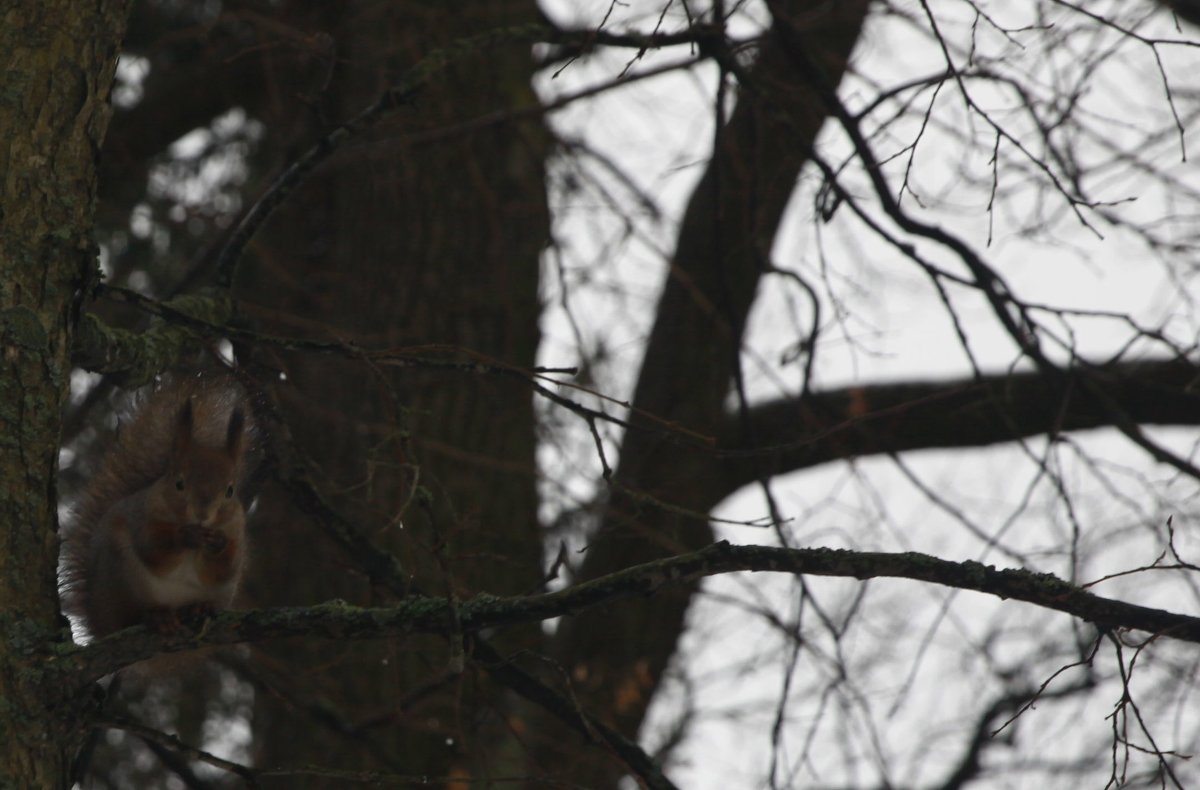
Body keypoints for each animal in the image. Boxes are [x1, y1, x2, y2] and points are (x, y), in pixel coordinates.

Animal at [60, 372, 255, 643]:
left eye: (230, 490)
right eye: (179, 483)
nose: (202, 514)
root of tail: (100, 623)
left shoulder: (236, 530)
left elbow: (226, 566)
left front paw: (217, 542)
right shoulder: (142, 517)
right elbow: (153, 547)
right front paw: (187, 535)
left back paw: (199, 607)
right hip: (122, 577)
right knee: (131, 615)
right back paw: (156, 617)